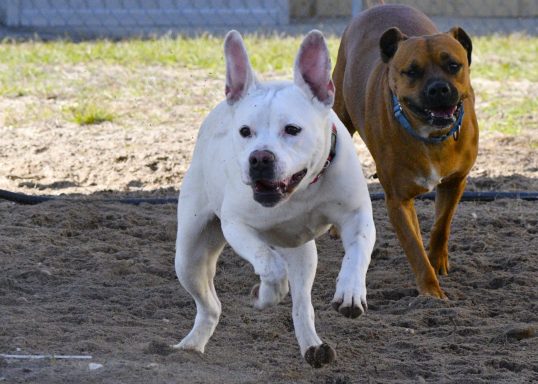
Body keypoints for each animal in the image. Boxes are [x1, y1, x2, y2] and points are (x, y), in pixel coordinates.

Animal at [174, 29, 374, 366]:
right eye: (245, 131)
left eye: (292, 129)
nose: (259, 157)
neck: (300, 191)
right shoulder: (236, 226)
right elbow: (269, 264)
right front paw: (266, 294)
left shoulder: (356, 214)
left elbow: (358, 251)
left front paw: (350, 292)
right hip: (189, 255)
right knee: (211, 306)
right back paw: (191, 344)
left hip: (304, 255)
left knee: (302, 304)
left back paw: (313, 346)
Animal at [330, 4, 478, 298]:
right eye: (412, 71)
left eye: (453, 65)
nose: (439, 88)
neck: (431, 136)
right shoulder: (397, 200)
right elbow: (413, 247)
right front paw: (431, 292)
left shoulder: (456, 182)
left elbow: (441, 224)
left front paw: (437, 260)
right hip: (340, 114)